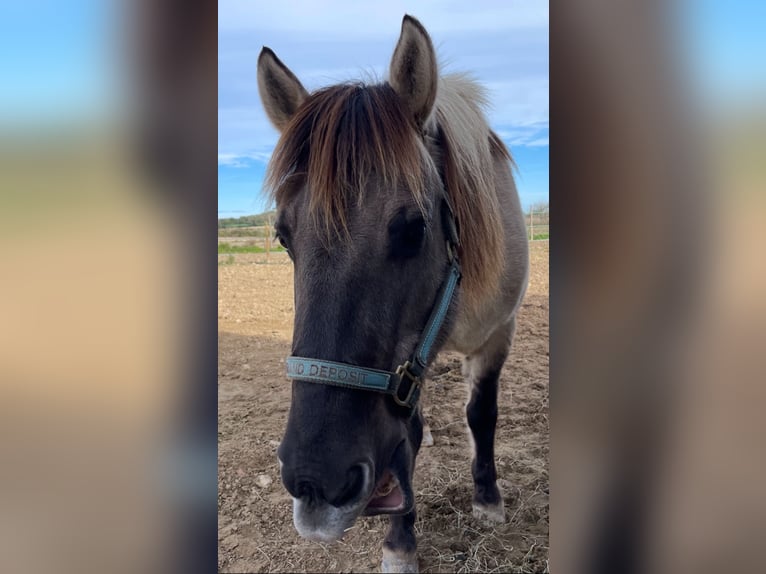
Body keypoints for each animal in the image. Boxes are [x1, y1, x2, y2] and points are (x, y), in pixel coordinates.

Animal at [258, 14, 528, 574]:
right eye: (283, 236)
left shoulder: (499, 334)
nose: (315, 479)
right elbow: (409, 439)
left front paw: (488, 499)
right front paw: (401, 542)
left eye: (413, 229)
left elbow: (482, 413)